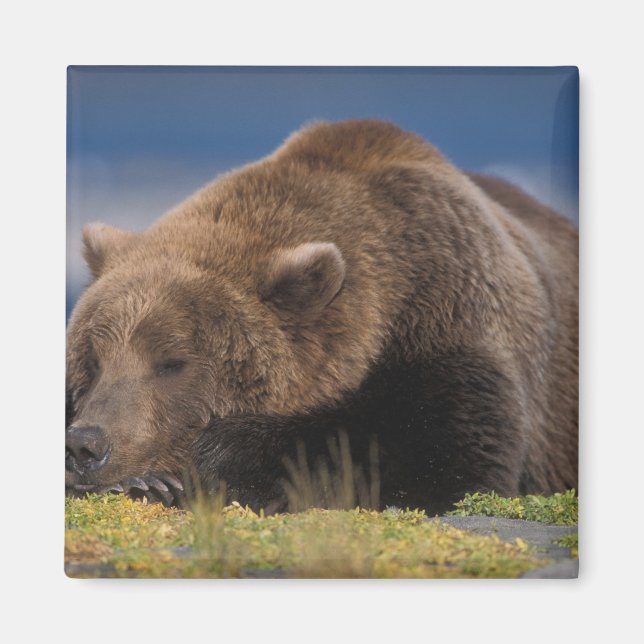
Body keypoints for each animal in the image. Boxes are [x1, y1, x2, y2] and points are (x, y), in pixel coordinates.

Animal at [65, 119, 578, 515]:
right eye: (93, 360)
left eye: (172, 362)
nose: (86, 444)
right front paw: (147, 480)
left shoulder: (452, 313)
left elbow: (439, 451)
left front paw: (194, 466)